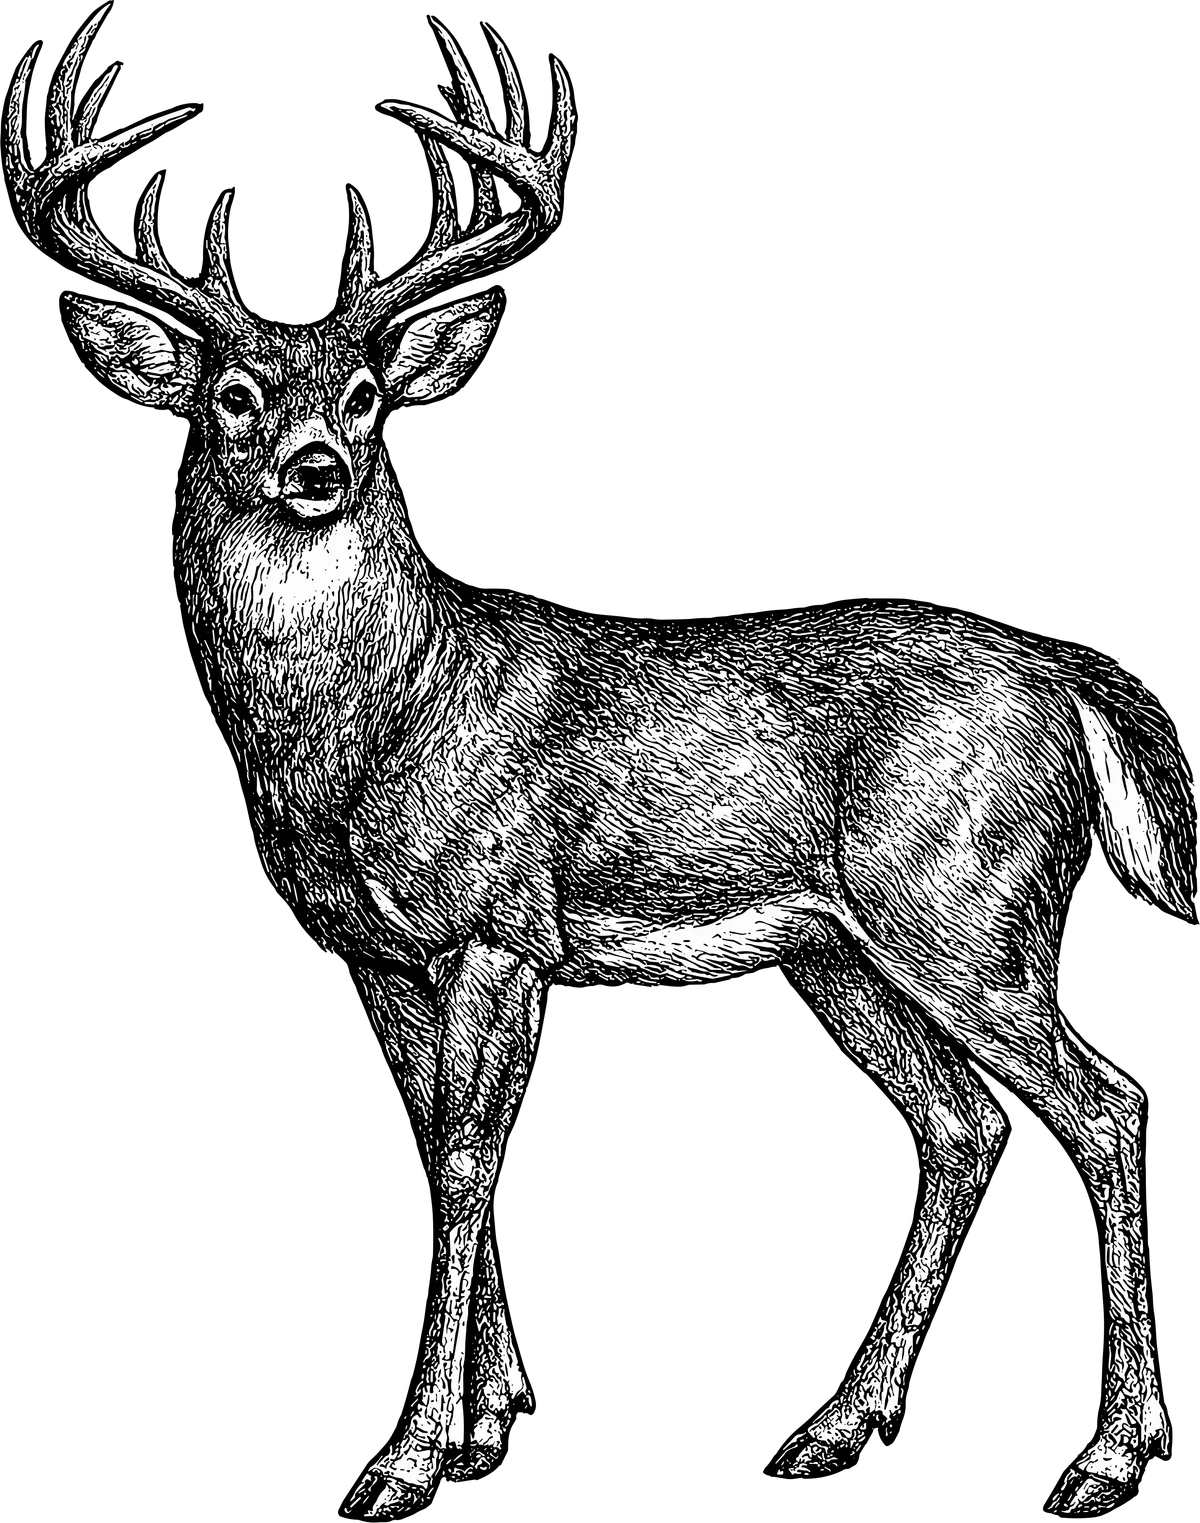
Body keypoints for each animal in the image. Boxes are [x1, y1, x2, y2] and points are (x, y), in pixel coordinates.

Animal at [8, 8, 1193, 1517]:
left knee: (1105, 1106)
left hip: (968, 911)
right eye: (231, 395)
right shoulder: (376, 954)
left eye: (367, 391)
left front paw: (412, 1449)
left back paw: (1108, 1450)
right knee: (960, 1122)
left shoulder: (500, 919)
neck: (380, 724)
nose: (319, 465)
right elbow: (438, 1142)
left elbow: (466, 1157)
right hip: (840, 947)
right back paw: (838, 1421)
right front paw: (492, 1411)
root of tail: (1068, 681)